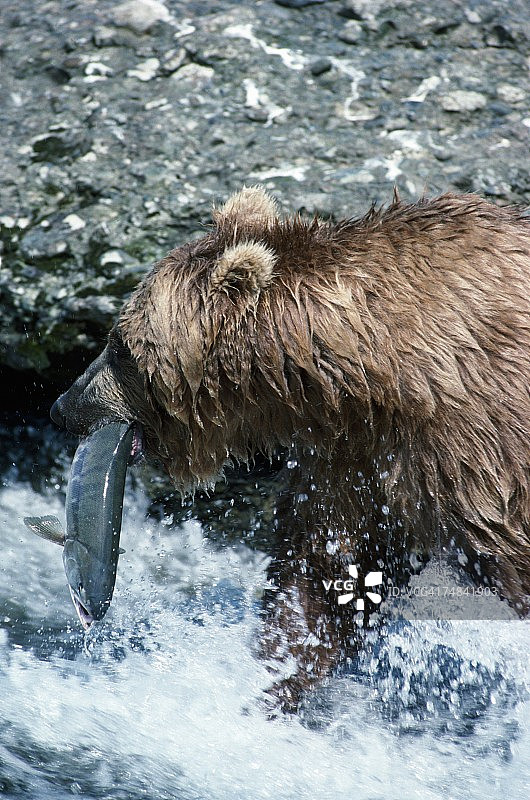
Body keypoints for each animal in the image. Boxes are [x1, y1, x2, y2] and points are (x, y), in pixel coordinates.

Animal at [51, 186, 530, 713]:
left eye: (120, 345)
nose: (63, 405)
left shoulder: (477, 443)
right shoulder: (354, 457)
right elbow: (321, 571)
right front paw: (271, 683)